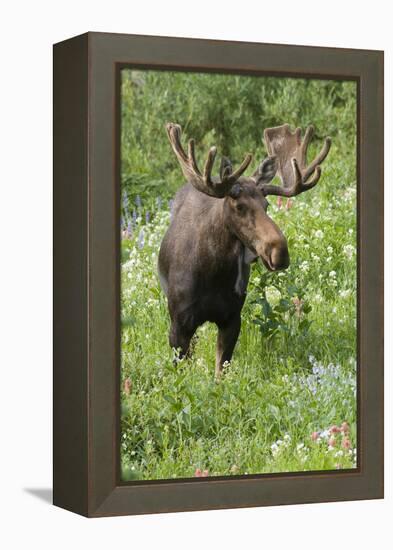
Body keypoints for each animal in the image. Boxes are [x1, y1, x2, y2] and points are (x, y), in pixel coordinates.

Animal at [158, 122, 330, 378]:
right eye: (239, 206)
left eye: (266, 204)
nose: (280, 251)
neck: (213, 274)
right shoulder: (178, 324)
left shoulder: (232, 319)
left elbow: (220, 372)